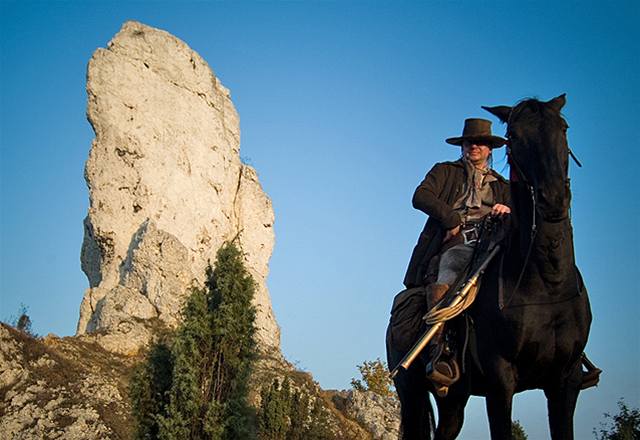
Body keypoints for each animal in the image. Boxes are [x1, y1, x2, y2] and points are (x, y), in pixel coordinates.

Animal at [388, 94, 592, 438]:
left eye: (563, 127)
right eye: (515, 137)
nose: (552, 199)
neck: (546, 284)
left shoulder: (566, 383)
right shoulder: (500, 382)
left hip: (454, 399)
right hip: (410, 391)